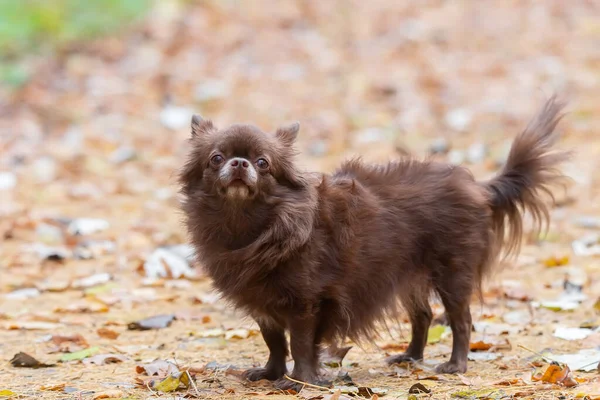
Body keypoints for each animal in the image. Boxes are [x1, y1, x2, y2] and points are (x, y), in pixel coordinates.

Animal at [178, 97, 568, 390]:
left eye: (263, 163)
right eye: (216, 158)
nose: (239, 163)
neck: (250, 225)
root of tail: (478, 188)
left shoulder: (305, 304)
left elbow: (301, 344)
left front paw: (301, 380)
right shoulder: (263, 304)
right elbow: (274, 342)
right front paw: (271, 373)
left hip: (452, 276)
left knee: (461, 320)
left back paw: (455, 365)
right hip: (408, 276)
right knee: (423, 316)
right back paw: (411, 356)